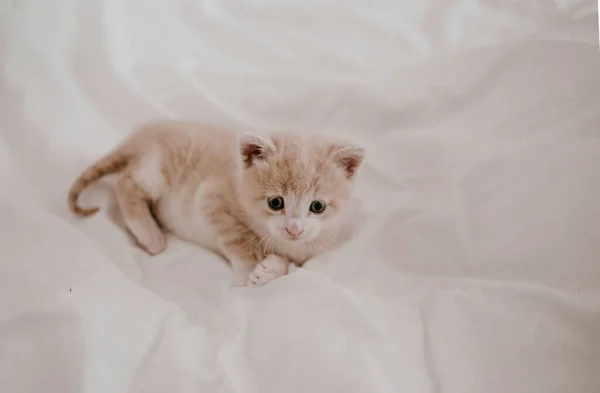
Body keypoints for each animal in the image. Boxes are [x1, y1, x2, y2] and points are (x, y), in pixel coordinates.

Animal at [68, 119, 364, 284]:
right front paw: (249, 272)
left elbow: (290, 266)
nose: (294, 229)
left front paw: (270, 269)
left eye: (317, 207)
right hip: (159, 167)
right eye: (275, 203)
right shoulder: (211, 196)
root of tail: (144, 133)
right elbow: (239, 238)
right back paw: (148, 233)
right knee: (126, 181)